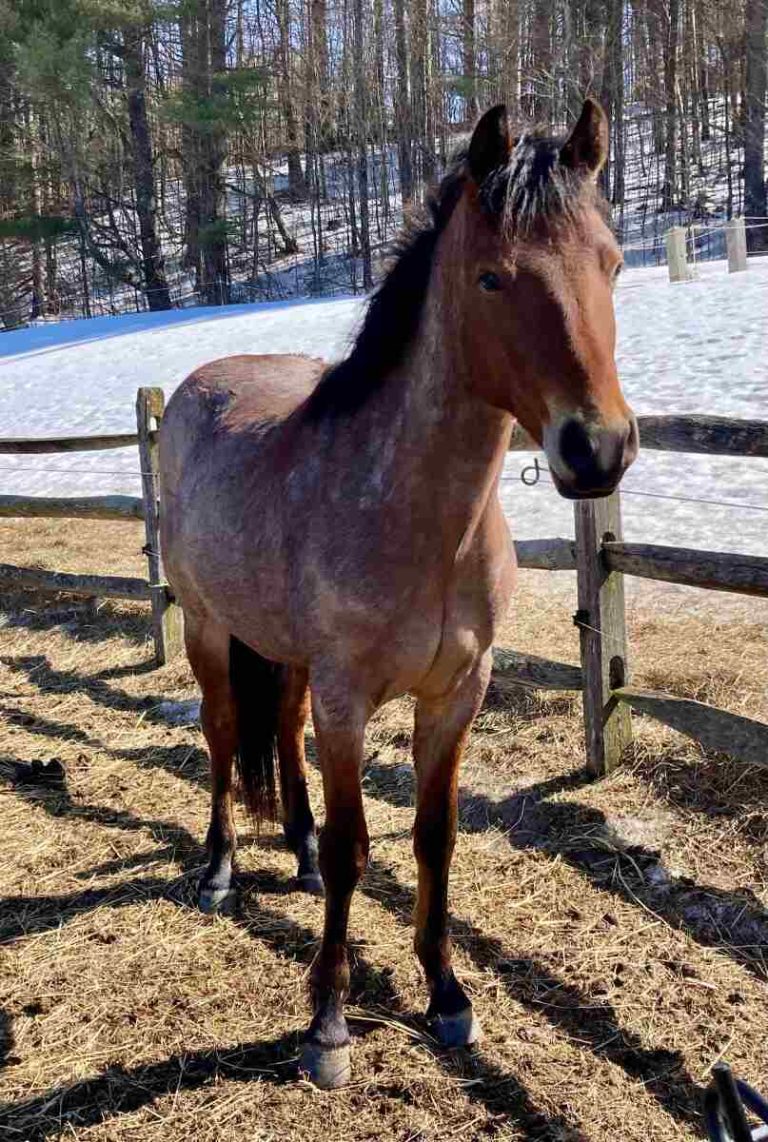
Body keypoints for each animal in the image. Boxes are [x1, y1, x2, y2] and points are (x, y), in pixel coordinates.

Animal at [158, 100, 639, 1087]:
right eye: (492, 278)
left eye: (611, 263)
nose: (598, 449)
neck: (422, 521)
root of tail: (196, 388)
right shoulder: (349, 701)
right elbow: (357, 848)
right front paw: (329, 1022)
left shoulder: (457, 693)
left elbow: (431, 835)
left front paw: (447, 994)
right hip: (210, 632)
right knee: (224, 738)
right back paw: (221, 870)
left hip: (286, 654)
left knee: (280, 735)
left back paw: (295, 852)